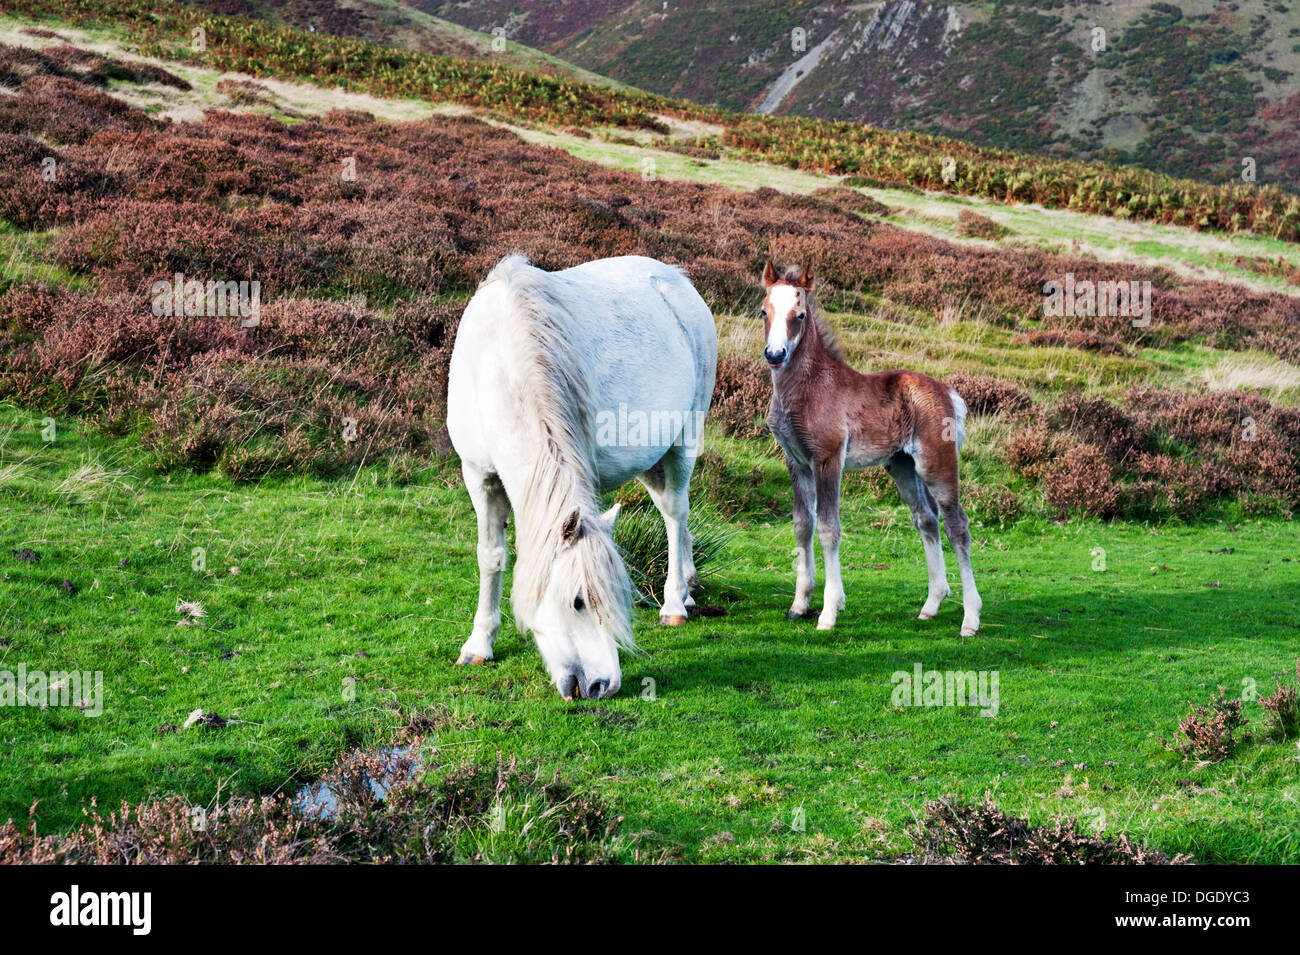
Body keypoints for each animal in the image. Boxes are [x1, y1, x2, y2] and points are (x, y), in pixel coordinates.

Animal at [449, 254, 722, 701]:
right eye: (577, 601)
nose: (604, 685)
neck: (499, 363)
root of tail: (677, 280)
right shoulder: (480, 477)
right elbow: (490, 557)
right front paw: (479, 643)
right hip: (649, 460)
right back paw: (689, 587)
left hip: (685, 439)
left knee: (675, 513)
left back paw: (674, 603)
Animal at [759, 259, 977, 634]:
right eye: (764, 312)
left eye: (799, 315)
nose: (775, 355)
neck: (808, 388)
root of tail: (950, 394)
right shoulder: (796, 461)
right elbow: (803, 525)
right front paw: (799, 605)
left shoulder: (828, 458)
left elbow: (829, 528)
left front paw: (829, 612)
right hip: (902, 466)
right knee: (926, 519)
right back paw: (931, 605)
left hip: (937, 464)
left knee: (957, 526)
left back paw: (971, 619)